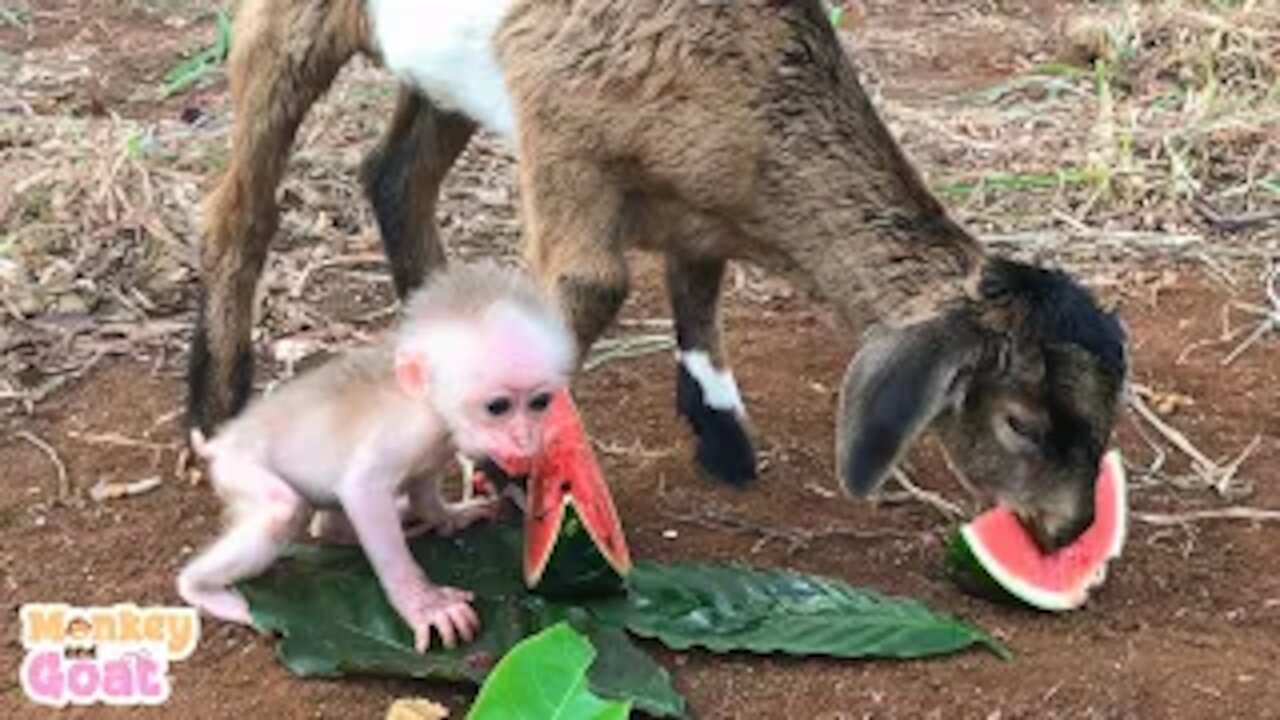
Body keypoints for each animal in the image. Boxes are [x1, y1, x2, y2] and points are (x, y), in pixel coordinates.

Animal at [177, 258, 578, 650]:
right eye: (498, 407)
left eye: (540, 403)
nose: (525, 437)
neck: (433, 409)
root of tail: (222, 441)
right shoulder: (409, 430)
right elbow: (363, 490)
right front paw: (422, 603)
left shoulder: (436, 446)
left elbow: (424, 488)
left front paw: (448, 516)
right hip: (237, 466)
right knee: (283, 509)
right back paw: (199, 588)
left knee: (326, 524)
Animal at [185, 0, 1126, 548]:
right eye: (1022, 423)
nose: (1070, 530)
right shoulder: (563, 140)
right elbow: (587, 294)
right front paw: (512, 475)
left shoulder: (701, 205)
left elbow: (699, 286)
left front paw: (720, 433)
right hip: (293, 26)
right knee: (241, 207)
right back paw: (214, 407)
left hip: (443, 74)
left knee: (396, 176)